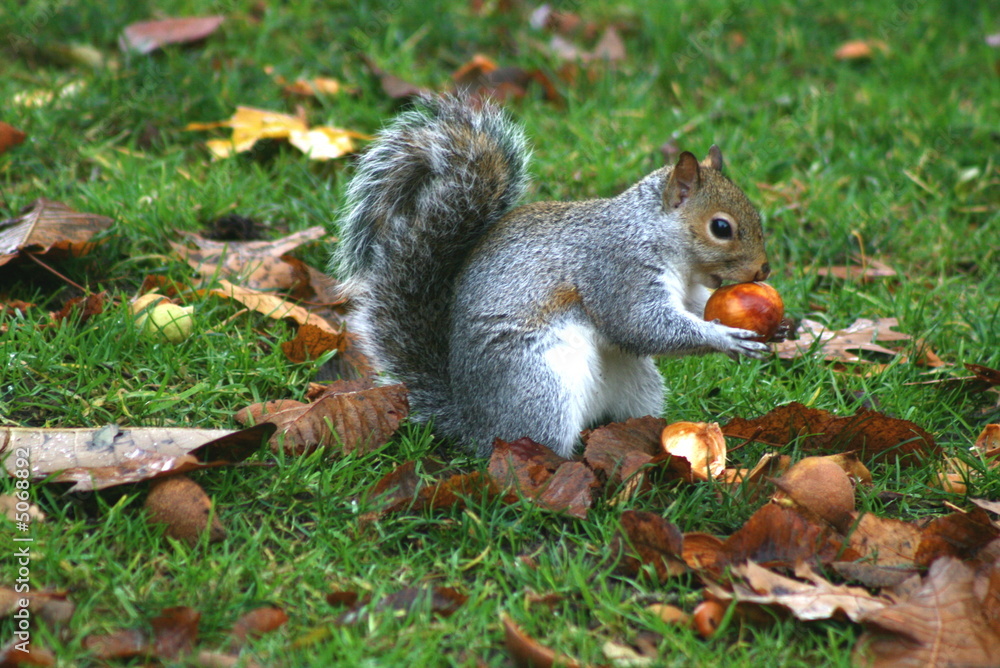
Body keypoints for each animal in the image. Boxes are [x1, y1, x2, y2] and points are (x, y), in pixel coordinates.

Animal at [332, 95, 768, 460]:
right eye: (721, 228)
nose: (764, 270)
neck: (656, 237)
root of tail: (473, 424)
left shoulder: (688, 288)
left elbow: (693, 307)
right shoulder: (617, 269)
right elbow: (639, 325)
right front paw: (724, 336)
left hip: (633, 382)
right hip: (540, 385)